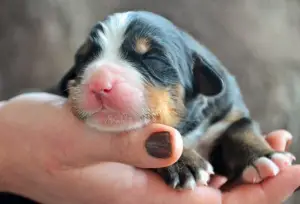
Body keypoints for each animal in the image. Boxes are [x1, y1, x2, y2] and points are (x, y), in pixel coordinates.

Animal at [52, 10, 296, 190]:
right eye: (84, 59)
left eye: (151, 58)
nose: (98, 82)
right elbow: (167, 137)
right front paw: (184, 163)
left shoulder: (228, 111)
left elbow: (240, 127)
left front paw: (263, 157)